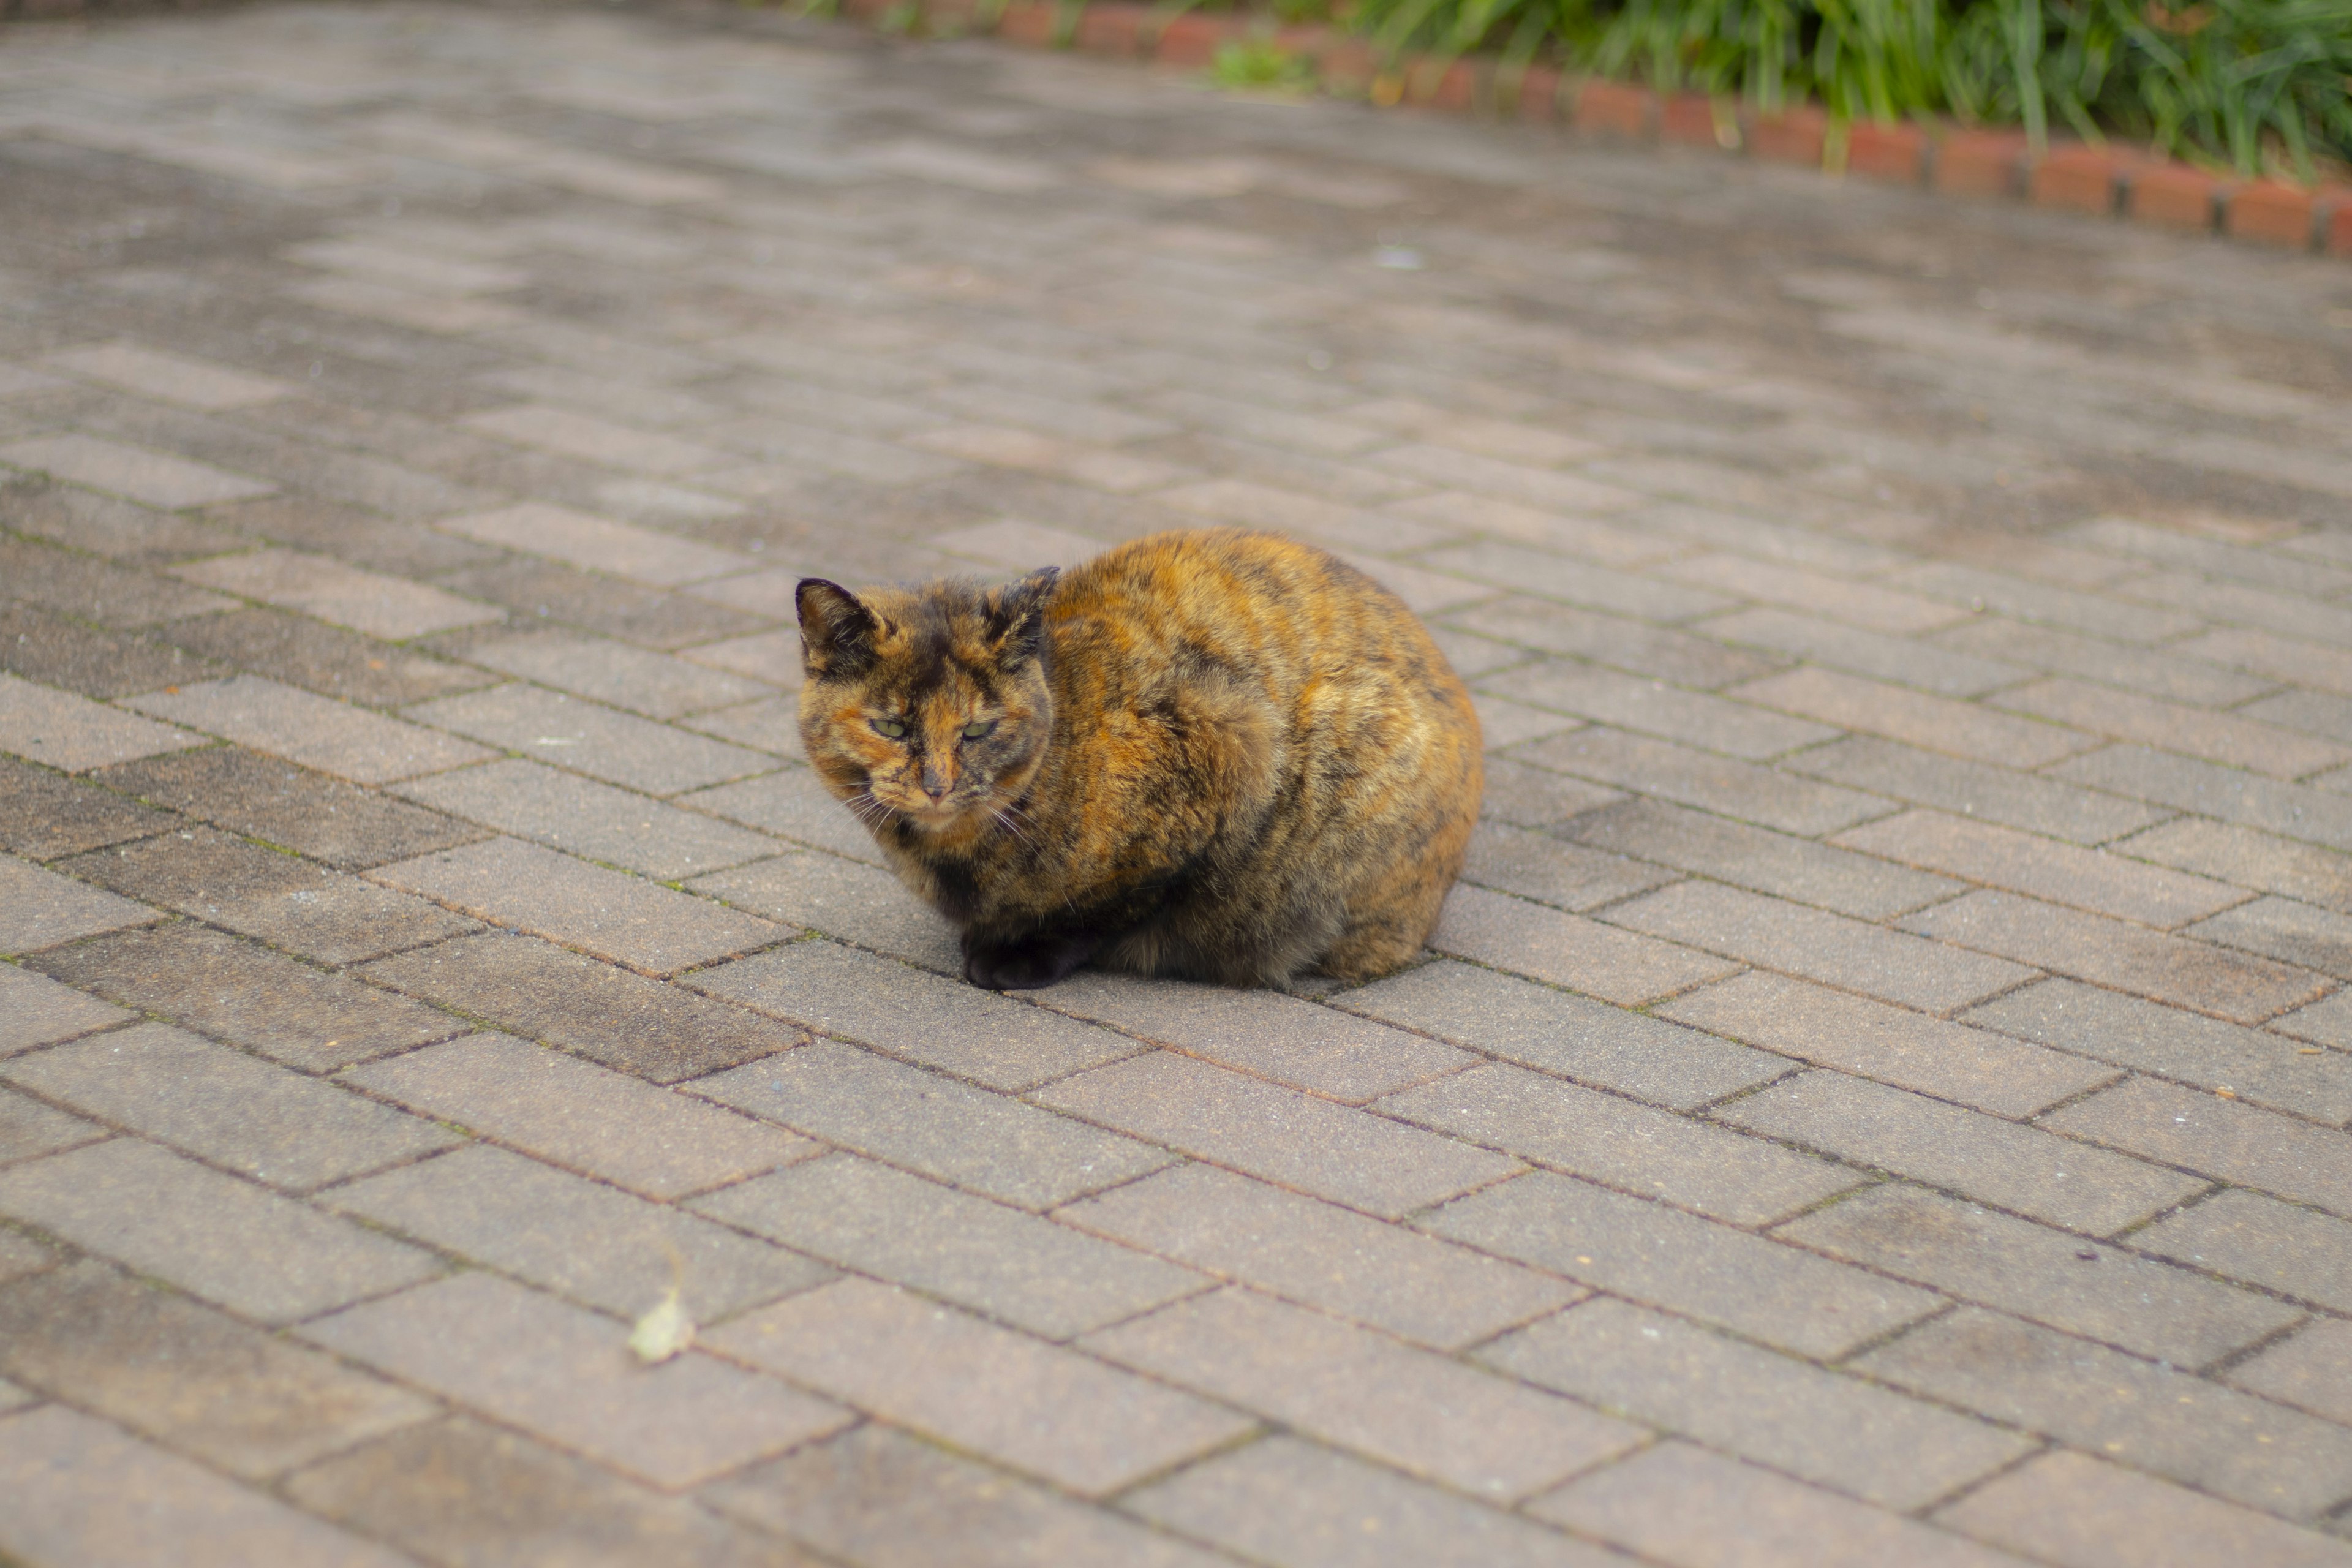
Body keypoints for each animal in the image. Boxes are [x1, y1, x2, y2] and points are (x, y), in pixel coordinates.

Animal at [799, 531, 1477, 992]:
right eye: (892, 726)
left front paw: (1016, 955)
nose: (937, 786)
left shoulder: (1229, 742)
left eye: (977, 729)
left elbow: (1112, 907)